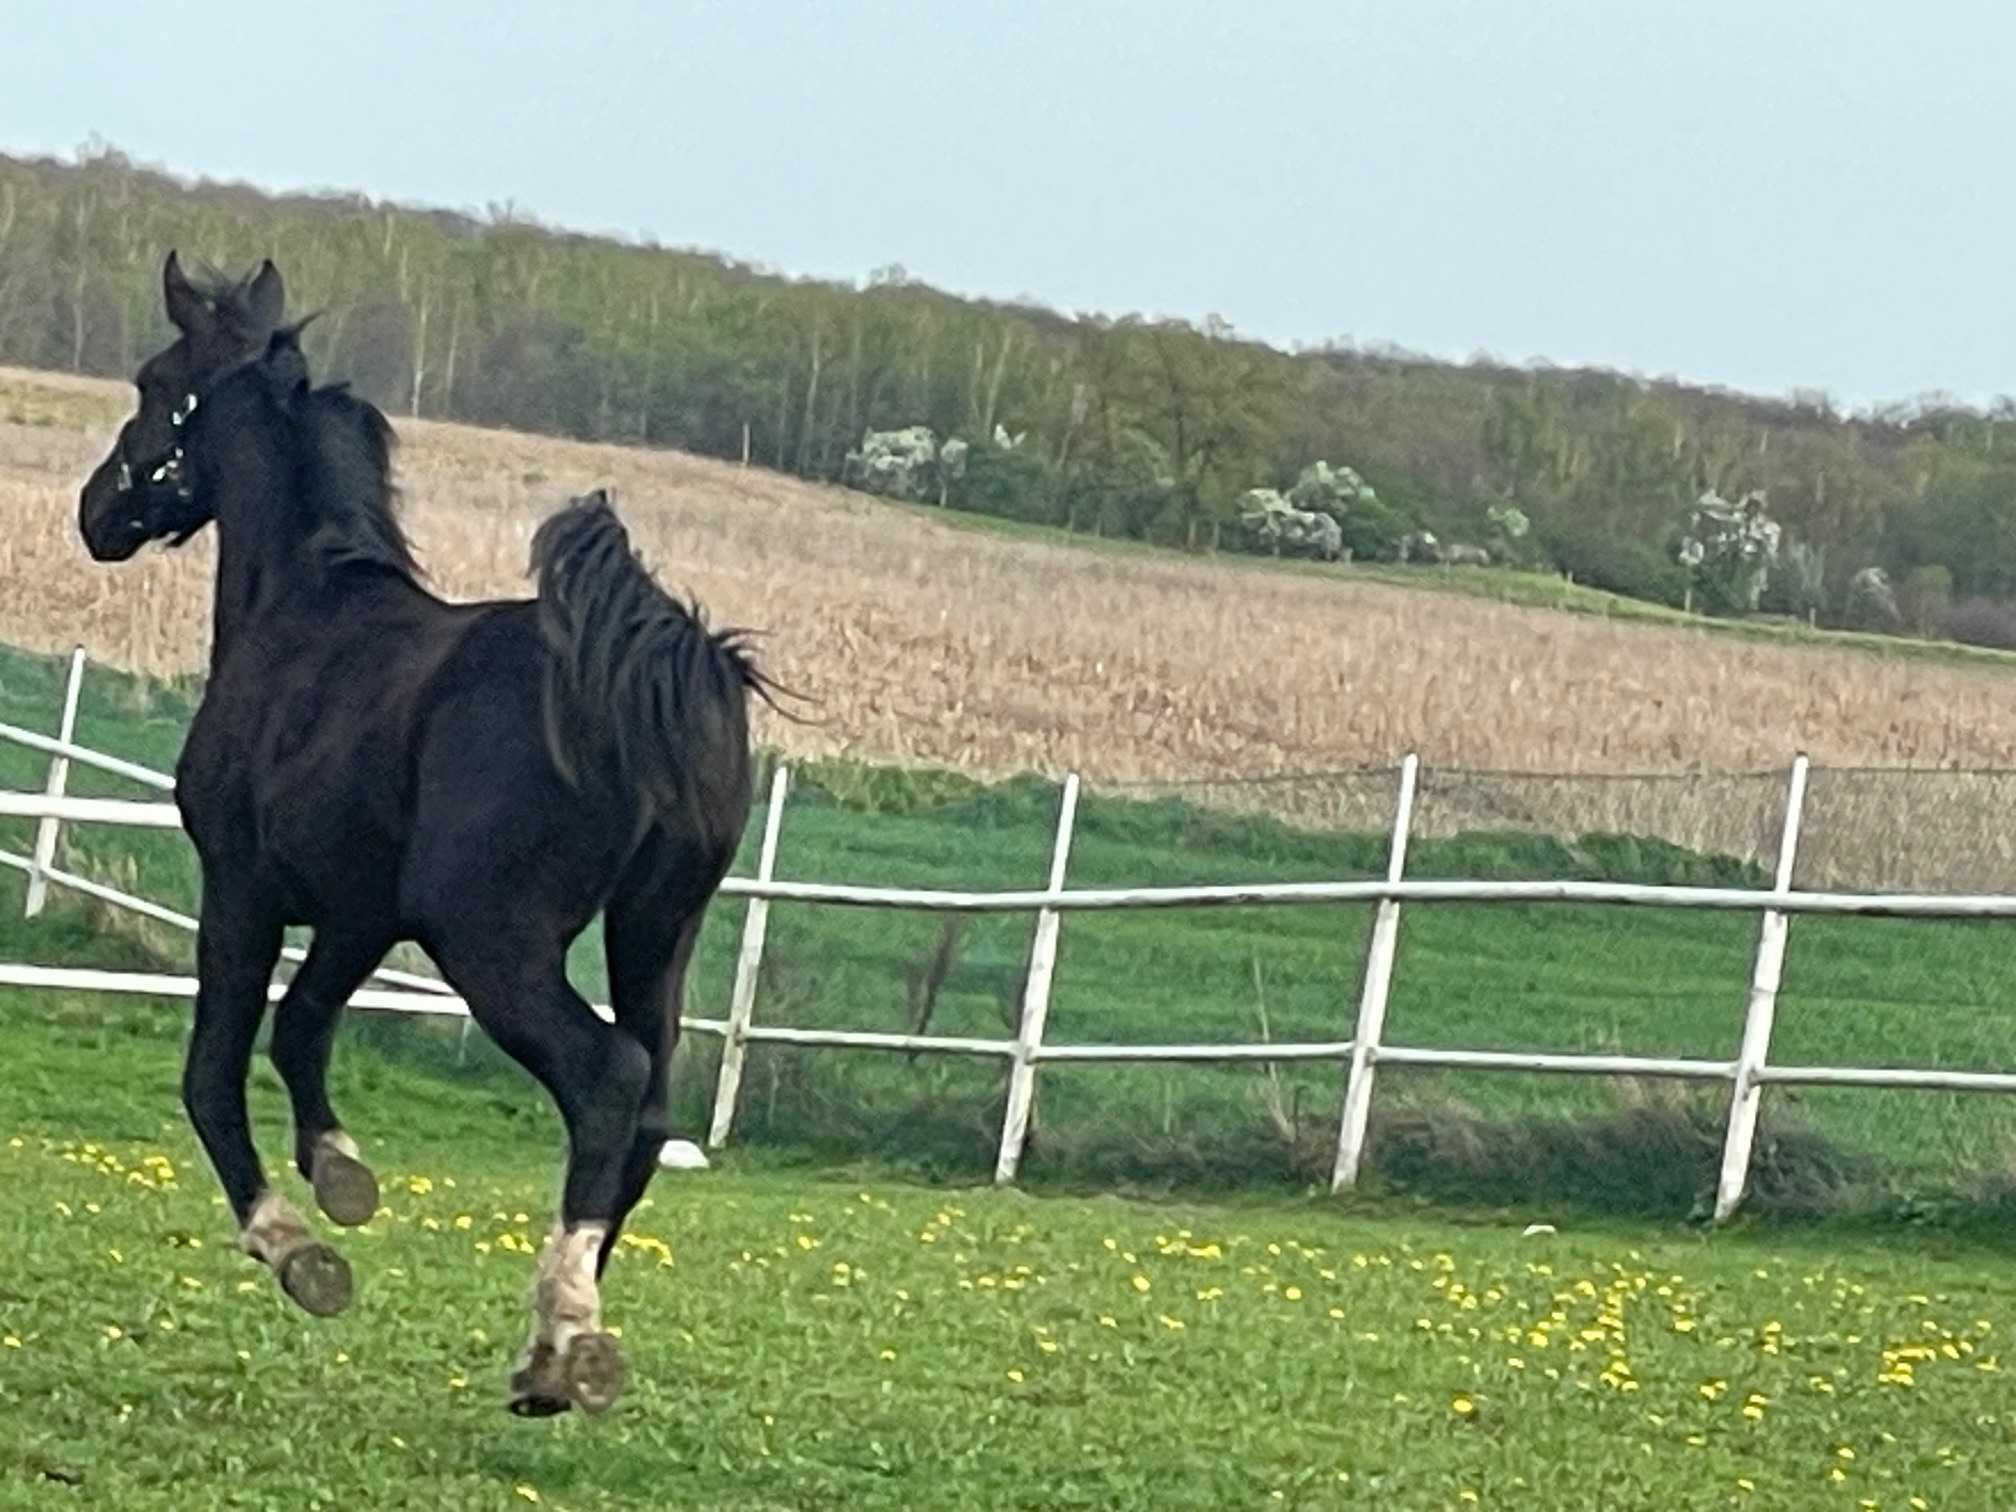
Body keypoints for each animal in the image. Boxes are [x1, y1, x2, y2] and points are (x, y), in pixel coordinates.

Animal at [78, 252, 774, 1419]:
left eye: (155, 382)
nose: (96, 512)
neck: (301, 615)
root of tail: (655, 673)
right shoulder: (361, 914)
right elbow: (301, 1028)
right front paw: (342, 1176)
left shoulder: (242, 891)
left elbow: (213, 1069)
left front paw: (298, 1247)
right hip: (655, 935)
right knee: (646, 1111)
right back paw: (546, 1356)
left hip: (493, 945)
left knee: (608, 1079)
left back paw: (569, 1340)